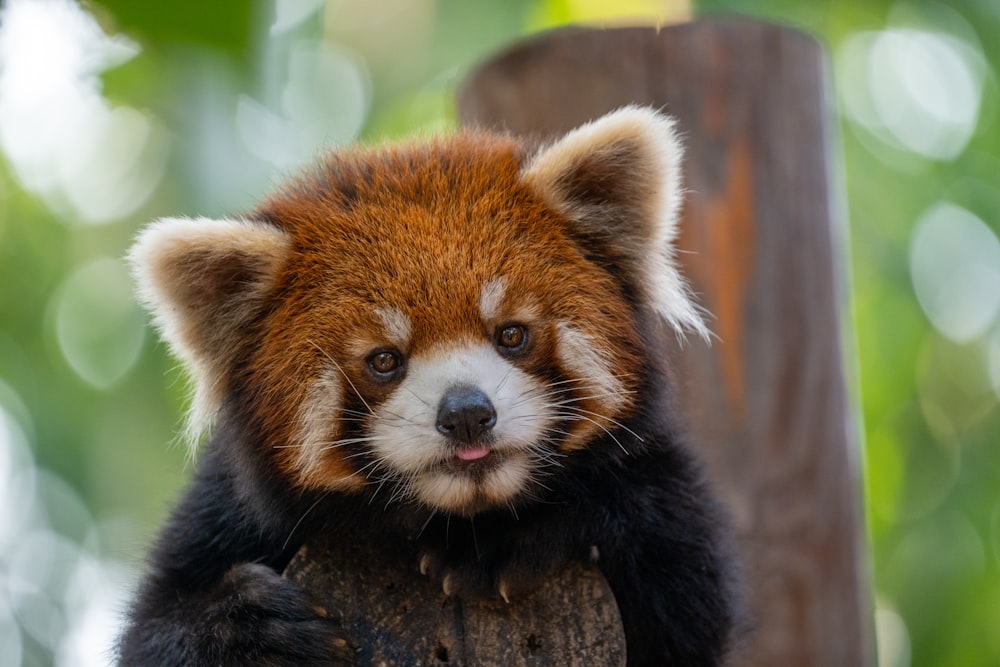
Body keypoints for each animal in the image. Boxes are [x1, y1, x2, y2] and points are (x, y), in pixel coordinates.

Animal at [119, 107, 744, 664]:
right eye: (384, 360)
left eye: (511, 334)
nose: (467, 413)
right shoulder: (223, 512)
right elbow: (154, 628)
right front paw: (250, 628)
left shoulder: (663, 489)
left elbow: (687, 586)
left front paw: (510, 537)